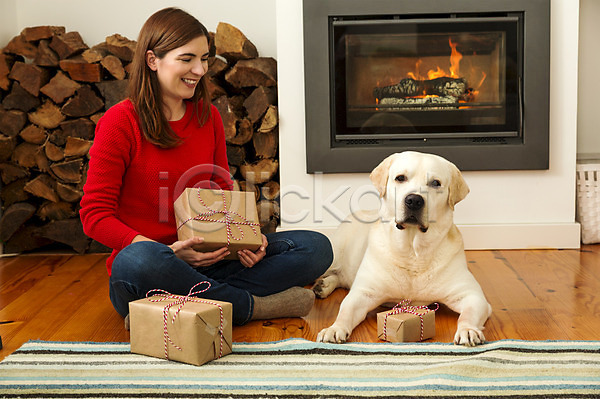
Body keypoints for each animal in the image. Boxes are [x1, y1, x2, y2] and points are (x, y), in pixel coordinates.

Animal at [314, 152, 492, 346]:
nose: (414, 200)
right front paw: (334, 328)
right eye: (400, 178)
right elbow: (345, 310)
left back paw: (324, 285)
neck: (412, 251)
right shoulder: (363, 293)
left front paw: (468, 330)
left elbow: (468, 314)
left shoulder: (472, 296)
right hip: (331, 255)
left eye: (435, 183)